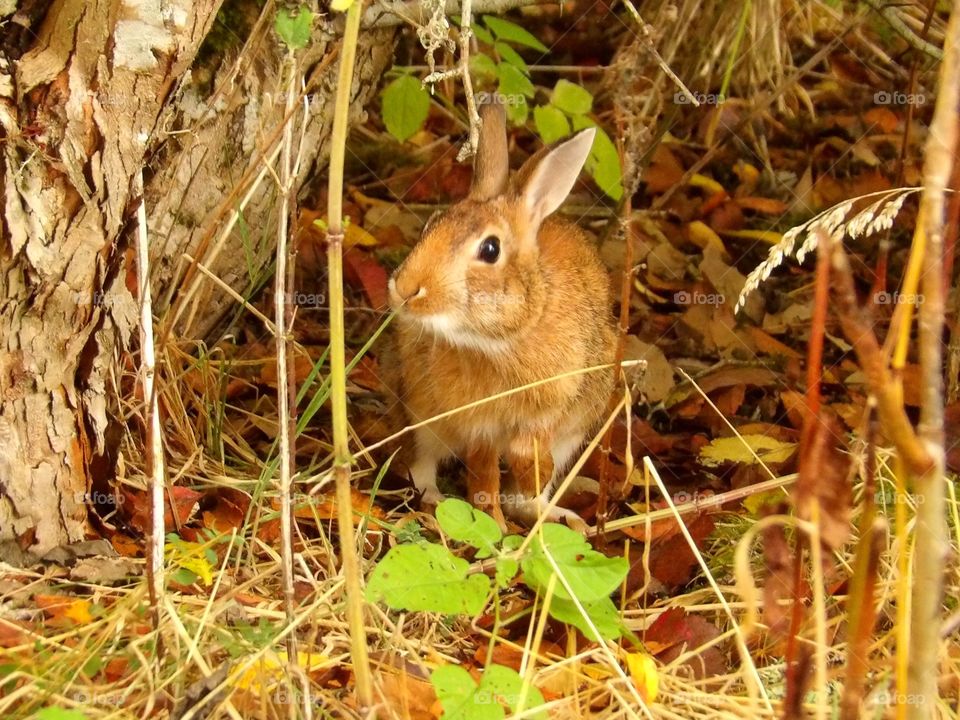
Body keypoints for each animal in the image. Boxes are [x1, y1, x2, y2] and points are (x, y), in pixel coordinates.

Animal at [385, 100, 617, 529]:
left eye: (490, 249)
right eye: (431, 225)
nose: (405, 289)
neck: (499, 342)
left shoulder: (552, 407)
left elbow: (527, 454)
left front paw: (530, 477)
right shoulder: (477, 425)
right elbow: (483, 475)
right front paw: (489, 523)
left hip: (575, 432)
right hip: (422, 414)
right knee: (422, 464)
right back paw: (436, 501)